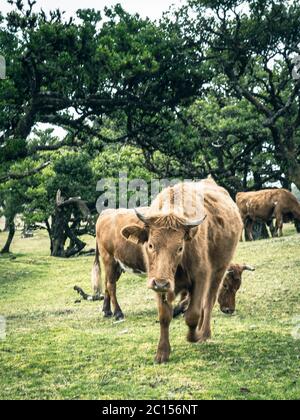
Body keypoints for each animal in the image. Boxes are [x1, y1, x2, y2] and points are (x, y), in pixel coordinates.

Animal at [120, 179, 243, 362]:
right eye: (151, 245)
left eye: (180, 248)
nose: (161, 283)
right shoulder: (159, 284)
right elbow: (164, 316)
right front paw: (162, 352)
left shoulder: (201, 278)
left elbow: (192, 315)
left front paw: (194, 337)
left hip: (218, 272)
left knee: (209, 301)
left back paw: (204, 333)